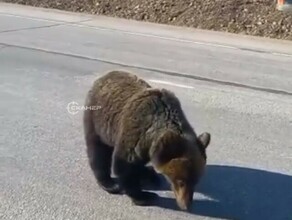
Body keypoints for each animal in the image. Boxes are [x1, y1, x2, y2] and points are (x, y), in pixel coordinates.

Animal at [83, 69, 211, 211]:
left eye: (196, 180)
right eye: (181, 181)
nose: (186, 205)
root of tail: (106, 75)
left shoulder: (146, 146)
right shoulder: (135, 132)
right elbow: (125, 165)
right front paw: (143, 196)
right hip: (98, 119)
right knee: (98, 150)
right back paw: (109, 183)